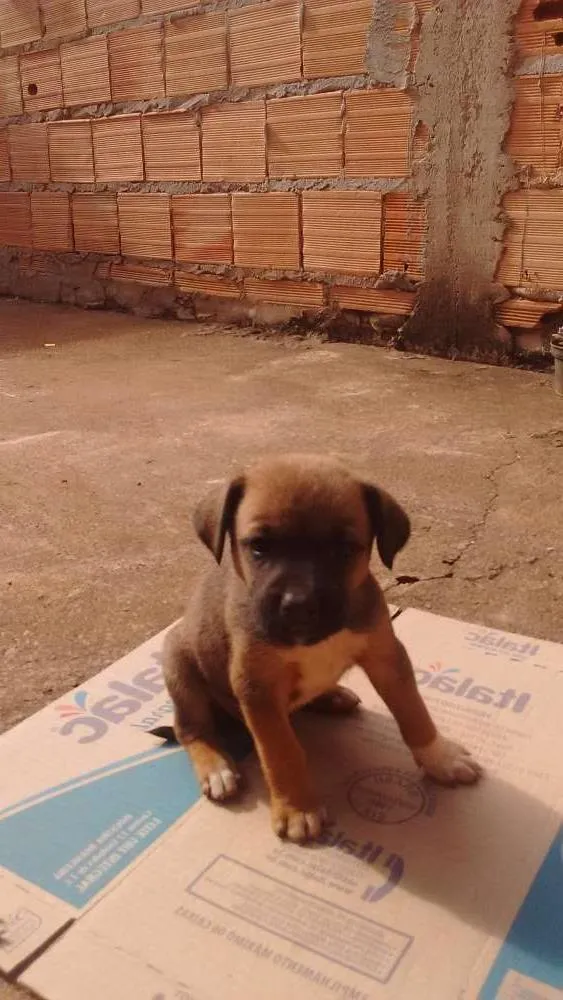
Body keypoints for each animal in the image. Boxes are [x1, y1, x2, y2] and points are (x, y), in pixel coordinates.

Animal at [164, 456, 484, 844]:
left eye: (344, 550)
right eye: (259, 547)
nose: (298, 606)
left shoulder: (387, 656)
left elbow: (414, 712)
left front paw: (440, 758)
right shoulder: (257, 687)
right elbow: (282, 752)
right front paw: (297, 808)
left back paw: (330, 696)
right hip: (178, 666)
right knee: (190, 728)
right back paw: (215, 767)